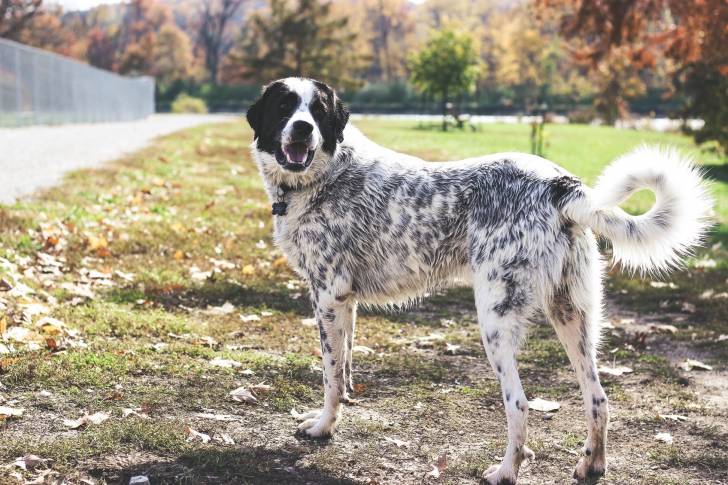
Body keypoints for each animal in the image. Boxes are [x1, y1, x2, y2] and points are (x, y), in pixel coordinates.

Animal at [246, 77, 712, 482]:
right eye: (285, 107)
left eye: (318, 111)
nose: (302, 128)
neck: (325, 175)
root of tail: (559, 185)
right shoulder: (346, 303)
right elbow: (343, 367)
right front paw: (339, 410)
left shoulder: (326, 297)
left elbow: (328, 374)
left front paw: (323, 427)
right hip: (573, 316)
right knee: (597, 398)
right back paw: (590, 466)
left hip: (495, 320)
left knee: (519, 404)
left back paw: (506, 471)